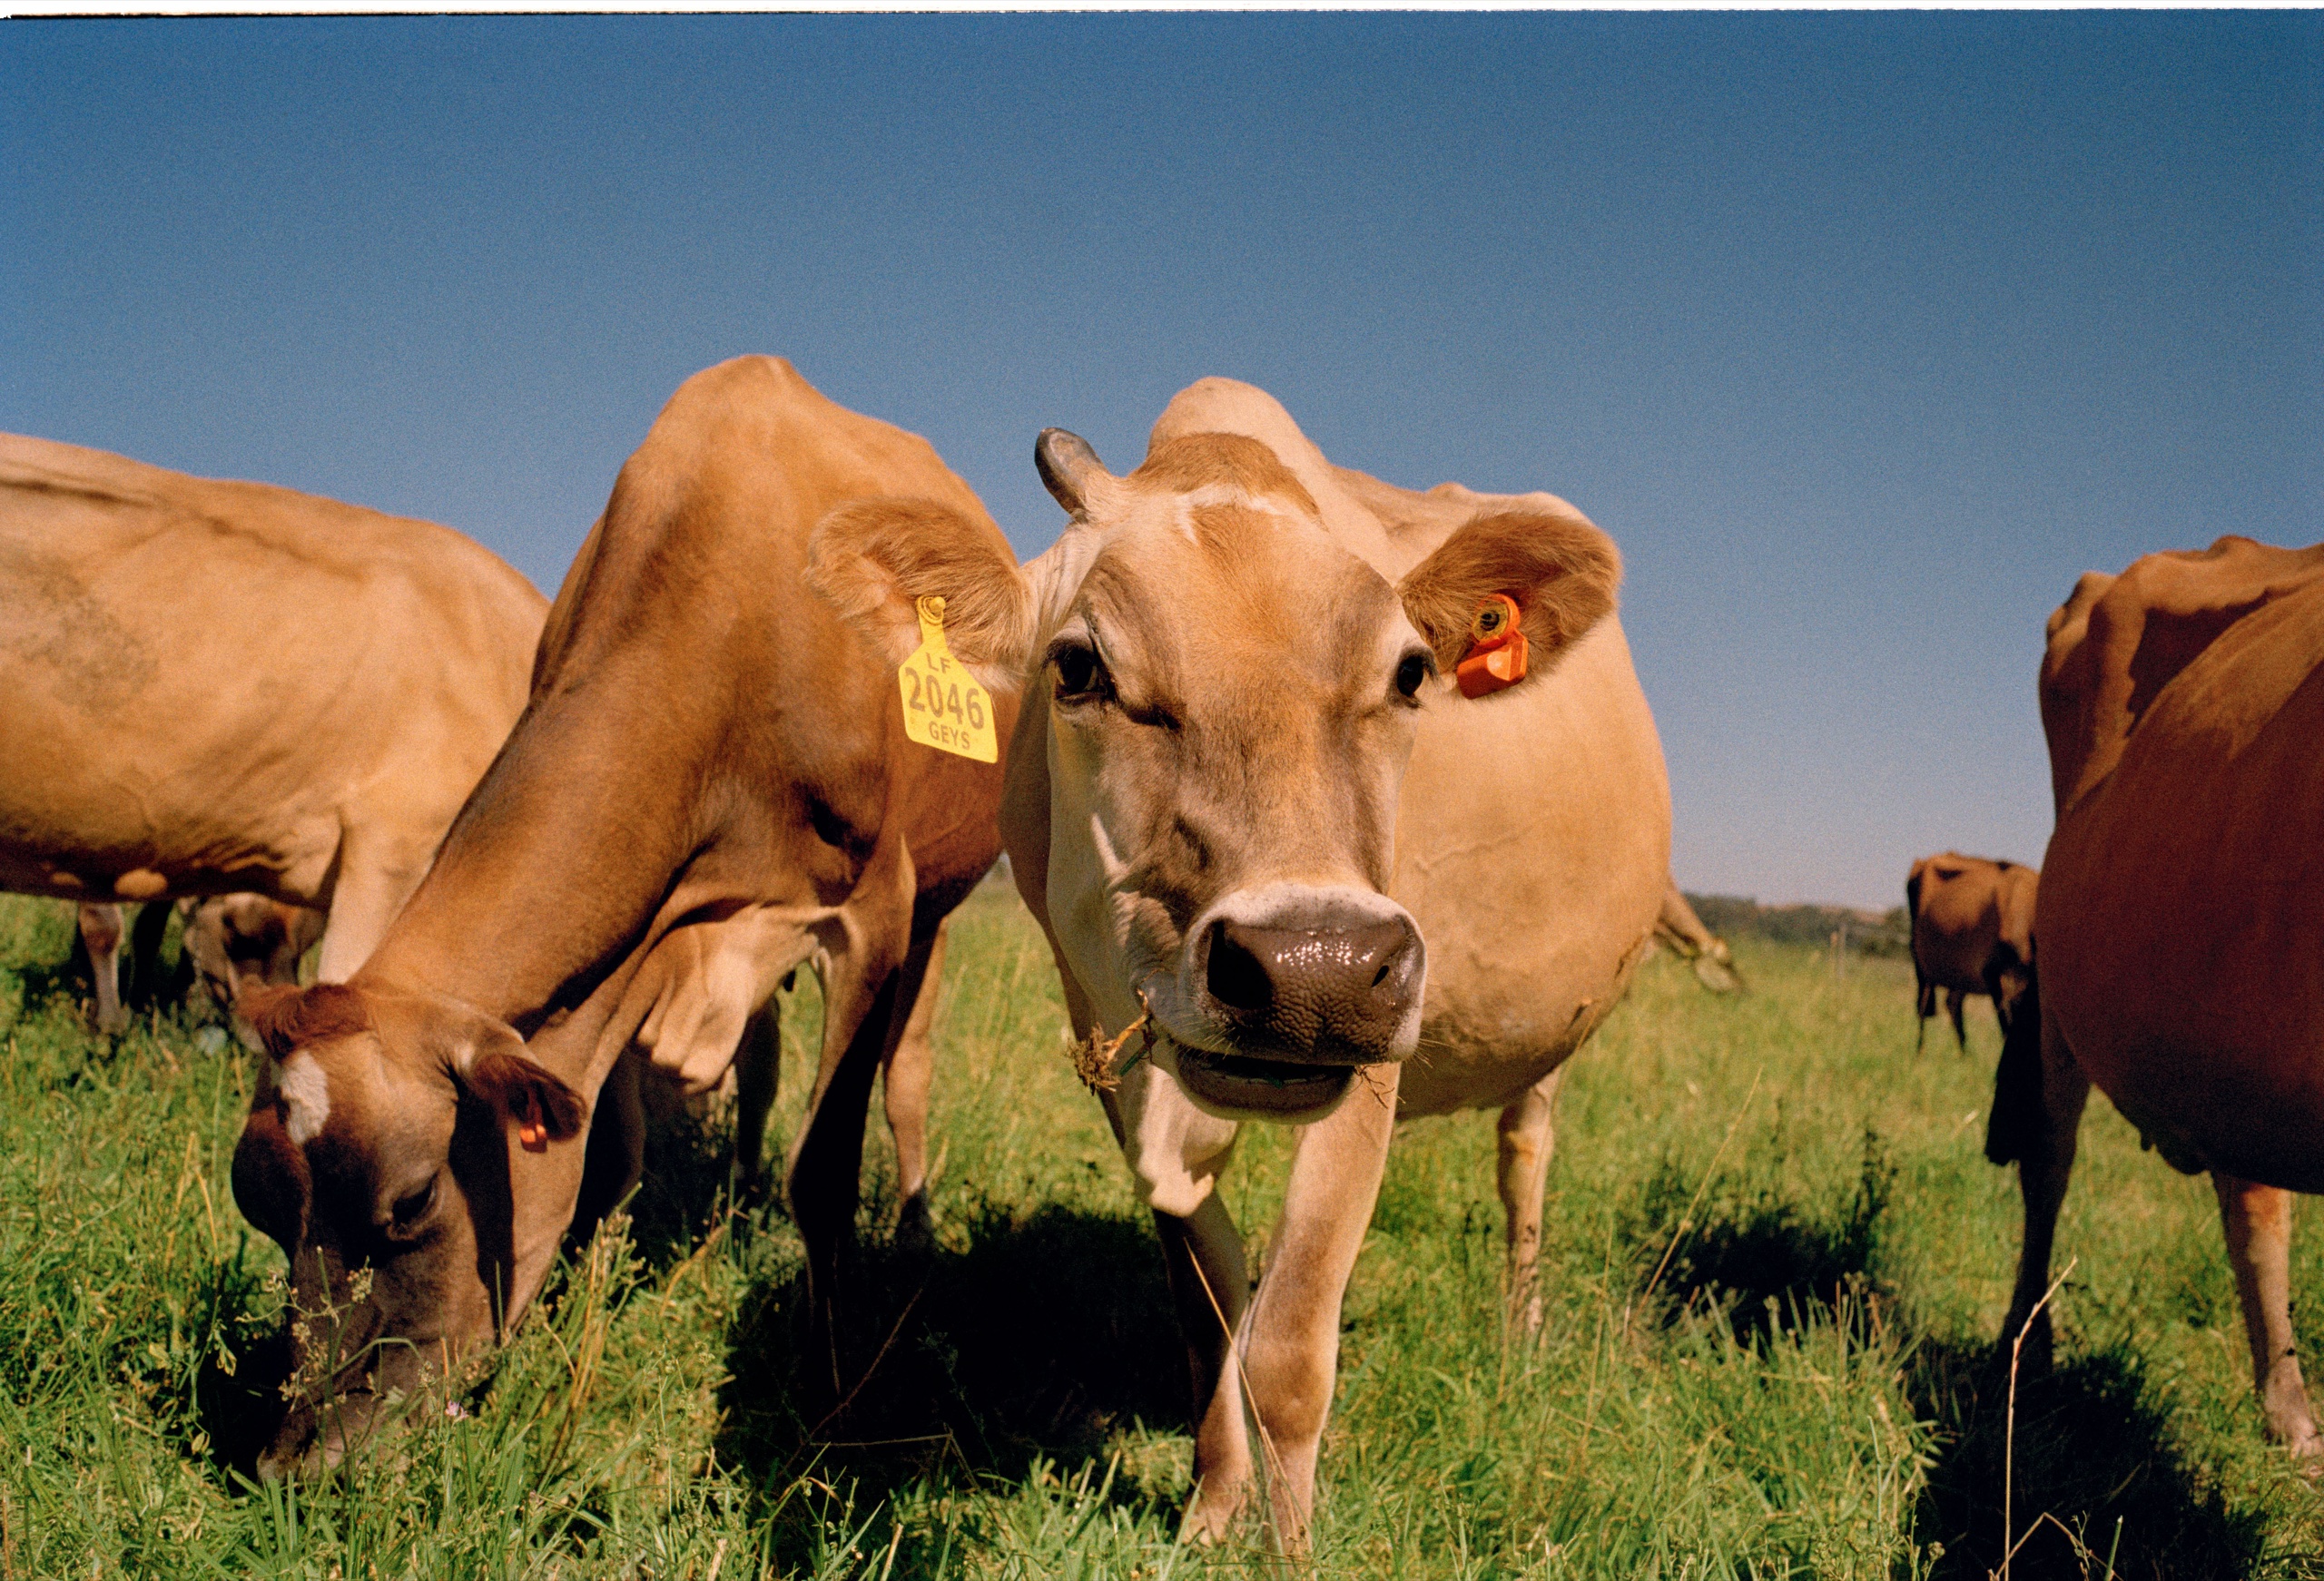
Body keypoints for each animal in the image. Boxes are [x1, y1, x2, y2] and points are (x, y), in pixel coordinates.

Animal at [230, 356, 1012, 1477]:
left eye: (413, 1200)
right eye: (256, 1197)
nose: (297, 1462)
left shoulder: (876, 908)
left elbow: (823, 1170)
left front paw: (830, 1393)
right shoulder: (642, 937)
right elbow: (604, 1161)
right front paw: (575, 1315)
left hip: (939, 908)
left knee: (905, 1080)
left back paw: (910, 1235)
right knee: (761, 1068)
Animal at [808, 378, 1670, 1548]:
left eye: (1409, 671)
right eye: (1076, 666)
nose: (1312, 966)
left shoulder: (1371, 1054)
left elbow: (1291, 1342)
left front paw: (1293, 1544)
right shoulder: (1113, 1043)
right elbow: (1210, 1301)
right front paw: (1214, 1506)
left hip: (1546, 1029)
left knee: (1524, 1152)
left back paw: (1521, 1328)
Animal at [1904, 852, 2037, 1053]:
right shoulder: (1993, 973)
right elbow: (2007, 1028)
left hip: (1960, 974)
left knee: (1952, 1004)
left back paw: (1962, 1055)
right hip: (1921, 963)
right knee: (1924, 1007)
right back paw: (1920, 1054)